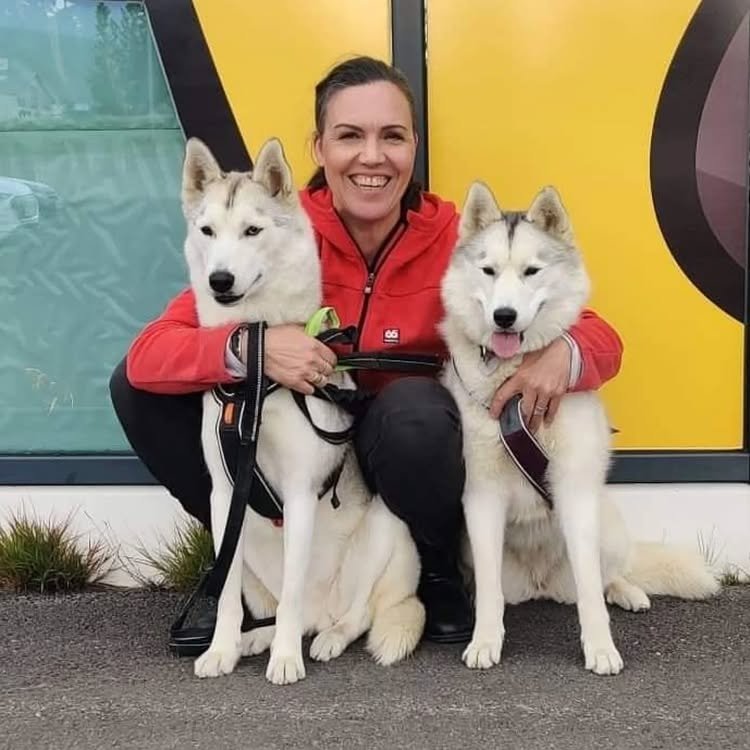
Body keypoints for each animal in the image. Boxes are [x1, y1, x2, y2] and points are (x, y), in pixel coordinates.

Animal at [181, 138, 424, 692]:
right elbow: (226, 597)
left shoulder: (298, 493)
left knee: (354, 615)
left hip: (387, 530)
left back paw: (324, 638)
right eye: (208, 231)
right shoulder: (224, 494)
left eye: (253, 230)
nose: (220, 280)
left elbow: (293, 594)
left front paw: (288, 659)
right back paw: (257, 638)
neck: (257, 376)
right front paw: (222, 649)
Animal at [444, 185, 720, 680]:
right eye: (488, 270)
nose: (504, 316)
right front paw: (485, 641)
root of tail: (540, 584)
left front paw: (600, 647)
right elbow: (491, 593)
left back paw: (628, 591)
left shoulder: (573, 489)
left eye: (531, 271)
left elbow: (591, 590)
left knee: (607, 574)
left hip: (604, 522)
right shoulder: (482, 496)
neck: (516, 382)